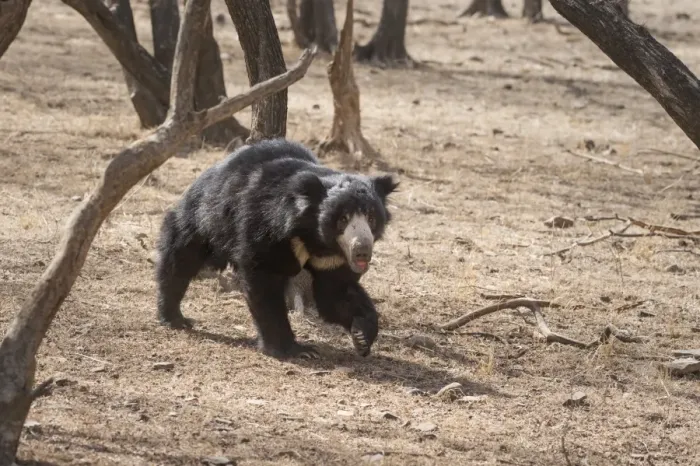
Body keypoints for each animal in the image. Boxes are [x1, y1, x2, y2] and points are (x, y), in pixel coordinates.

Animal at [155, 138, 398, 359]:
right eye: (343, 219)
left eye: (371, 218)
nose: (362, 250)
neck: (314, 238)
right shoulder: (267, 230)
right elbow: (265, 284)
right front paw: (296, 350)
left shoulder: (333, 259)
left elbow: (335, 293)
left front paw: (362, 336)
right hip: (206, 217)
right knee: (180, 257)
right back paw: (175, 317)